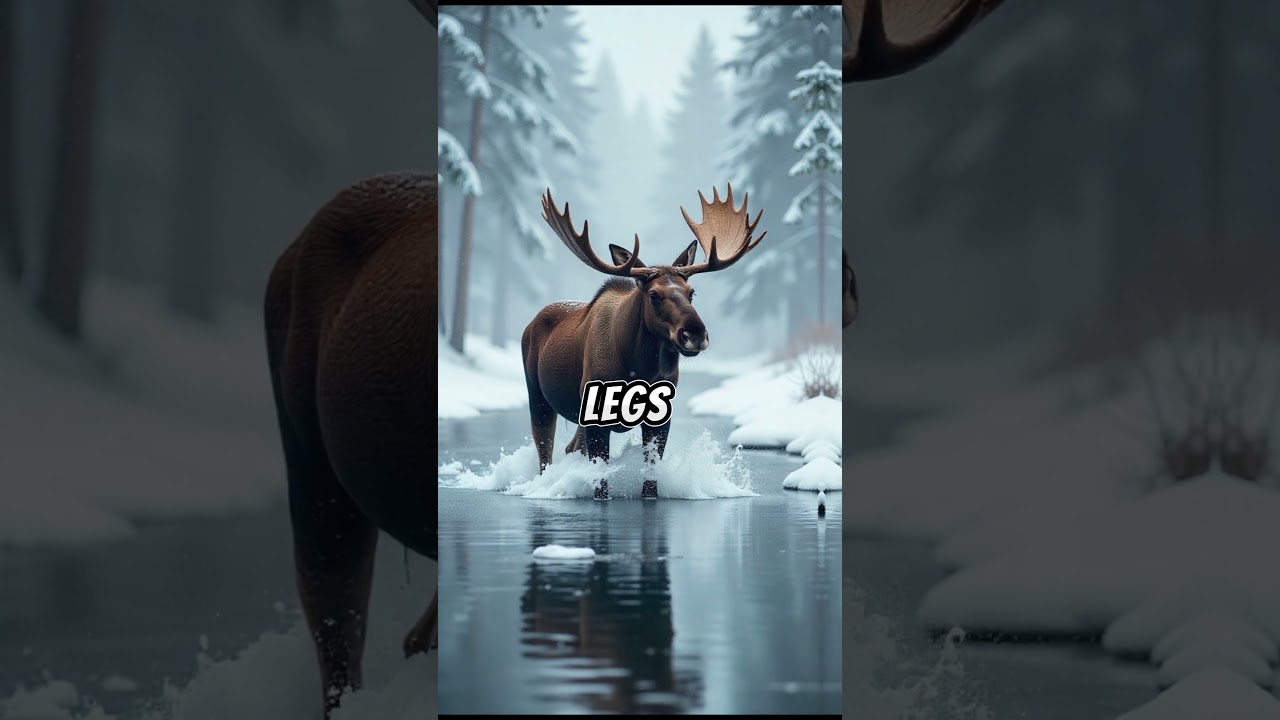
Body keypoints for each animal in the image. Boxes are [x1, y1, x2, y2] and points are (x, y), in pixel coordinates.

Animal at [521, 185, 766, 500]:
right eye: (653, 294)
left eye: (691, 292)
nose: (695, 334)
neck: (638, 368)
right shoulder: (596, 415)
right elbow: (601, 482)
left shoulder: (660, 416)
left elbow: (651, 478)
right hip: (537, 394)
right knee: (545, 450)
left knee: (570, 447)